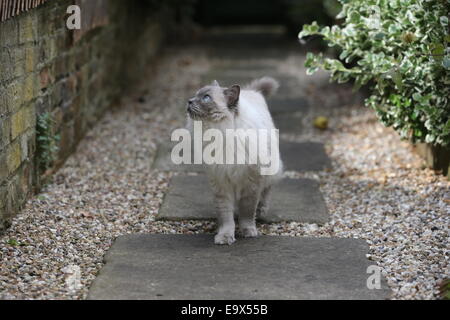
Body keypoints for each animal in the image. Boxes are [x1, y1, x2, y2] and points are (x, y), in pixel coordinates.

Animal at [185, 77, 284, 245]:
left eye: (206, 98)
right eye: (196, 95)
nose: (189, 101)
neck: (220, 133)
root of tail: (252, 92)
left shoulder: (251, 183)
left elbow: (247, 213)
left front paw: (248, 232)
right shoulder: (221, 184)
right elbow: (226, 217)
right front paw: (225, 237)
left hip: (270, 169)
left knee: (266, 190)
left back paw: (261, 210)